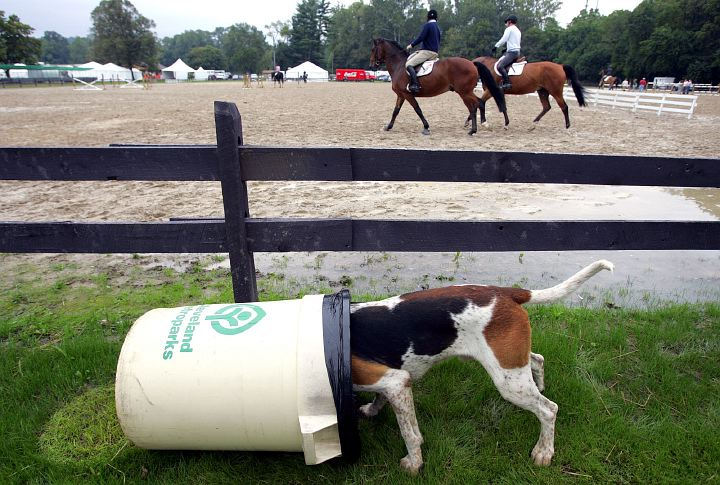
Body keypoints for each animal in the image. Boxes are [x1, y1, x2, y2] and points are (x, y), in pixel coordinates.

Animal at [348, 260, 612, 474]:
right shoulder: (392, 383)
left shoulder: (396, 382)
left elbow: (410, 433)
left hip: (508, 382)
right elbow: (381, 400)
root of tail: (504, 292)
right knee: (538, 360)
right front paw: (372, 410)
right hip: (511, 362)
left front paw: (414, 463)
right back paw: (541, 385)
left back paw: (543, 452)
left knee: (549, 410)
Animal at [372, 38, 506, 135]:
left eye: (373, 50)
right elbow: (396, 111)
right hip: (465, 92)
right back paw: (477, 127)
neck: (399, 66)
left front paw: (426, 127)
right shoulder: (401, 95)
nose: (372, 65)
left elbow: (417, 109)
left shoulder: (407, 94)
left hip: (464, 92)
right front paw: (388, 127)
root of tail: (472, 63)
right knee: (476, 105)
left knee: (476, 105)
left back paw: (475, 129)